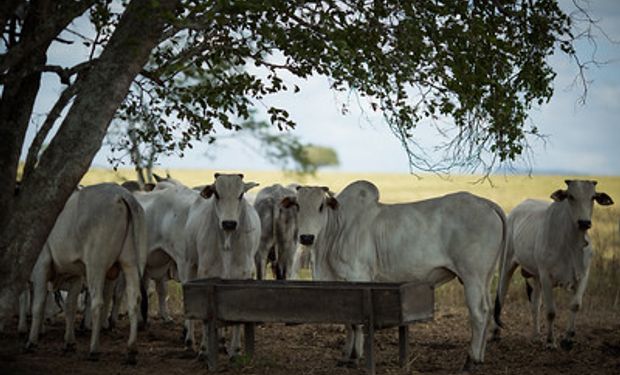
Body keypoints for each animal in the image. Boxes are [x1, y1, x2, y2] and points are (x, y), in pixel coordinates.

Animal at [24, 183, 148, 364]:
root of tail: (122, 194)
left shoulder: (41, 266)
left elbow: (38, 305)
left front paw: (31, 342)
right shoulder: (75, 275)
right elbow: (70, 307)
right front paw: (69, 343)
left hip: (96, 265)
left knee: (97, 303)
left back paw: (94, 349)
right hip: (131, 263)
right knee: (134, 300)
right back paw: (131, 350)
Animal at [184, 173, 262, 358]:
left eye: (241, 194)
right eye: (217, 194)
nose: (229, 223)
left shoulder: (242, 277)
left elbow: (237, 317)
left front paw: (236, 351)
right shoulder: (206, 275)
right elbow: (206, 318)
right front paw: (204, 350)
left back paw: (222, 343)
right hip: (189, 264)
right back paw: (190, 341)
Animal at [294, 181, 504, 370]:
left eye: (321, 206)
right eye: (297, 206)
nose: (306, 237)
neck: (338, 228)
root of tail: (487, 204)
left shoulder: (358, 276)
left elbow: (357, 323)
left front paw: (355, 357)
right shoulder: (341, 286)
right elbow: (348, 321)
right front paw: (346, 357)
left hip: (472, 276)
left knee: (479, 313)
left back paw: (471, 361)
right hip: (484, 278)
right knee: (488, 310)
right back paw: (480, 358)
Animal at [494, 179, 612, 350]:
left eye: (593, 197)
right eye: (570, 196)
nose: (584, 222)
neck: (571, 243)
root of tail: (513, 212)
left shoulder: (583, 275)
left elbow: (575, 305)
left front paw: (568, 339)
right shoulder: (546, 276)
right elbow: (550, 311)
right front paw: (550, 341)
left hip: (535, 275)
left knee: (535, 303)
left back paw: (536, 335)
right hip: (507, 264)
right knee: (501, 295)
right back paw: (495, 333)